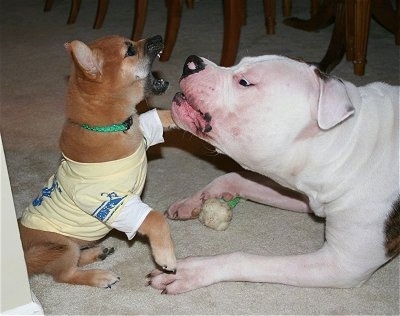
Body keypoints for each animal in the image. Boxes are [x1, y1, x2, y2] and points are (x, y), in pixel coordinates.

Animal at [17, 35, 177, 288]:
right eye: (130, 50)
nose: (159, 37)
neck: (109, 127)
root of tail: (25, 257)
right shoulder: (117, 203)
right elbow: (155, 218)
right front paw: (165, 256)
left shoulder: (145, 130)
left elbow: (160, 115)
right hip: (63, 247)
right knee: (65, 275)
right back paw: (98, 275)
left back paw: (96, 253)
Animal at [149, 54, 400, 294]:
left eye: (244, 82)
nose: (191, 62)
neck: (347, 147)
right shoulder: (304, 192)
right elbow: (232, 177)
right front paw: (193, 201)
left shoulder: (343, 265)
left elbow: (241, 259)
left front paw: (191, 270)